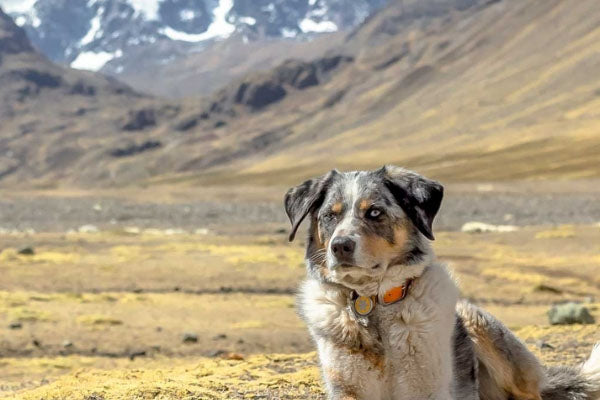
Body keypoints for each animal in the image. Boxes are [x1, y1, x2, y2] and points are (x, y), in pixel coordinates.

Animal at [284, 165, 600, 400]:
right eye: (330, 215)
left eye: (374, 212)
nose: (340, 246)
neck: (372, 304)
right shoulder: (348, 388)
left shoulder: (426, 387)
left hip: (480, 326)